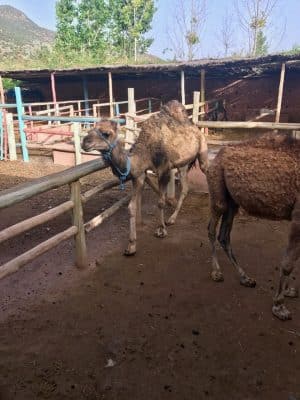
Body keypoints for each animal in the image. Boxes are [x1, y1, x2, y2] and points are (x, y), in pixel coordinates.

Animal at [82, 100, 209, 256]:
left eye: (106, 133)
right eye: (91, 129)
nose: (85, 142)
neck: (146, 151)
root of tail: (196, 128)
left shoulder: (164, 170)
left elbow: (160, 202)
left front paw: (161, 229)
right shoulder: (139, 175)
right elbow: (131, 207)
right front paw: (131, 246)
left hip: (202, 152)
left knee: (206, 172)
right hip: (183, 164)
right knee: (185, 187)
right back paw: (172, 219)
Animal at [206, 133, 300, 320]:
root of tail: (217, 156)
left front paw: (289, 291)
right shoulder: (298, 216)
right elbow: (288, 263)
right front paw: (279, 306)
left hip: (232, 202)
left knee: (224, 236)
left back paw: (245, 278)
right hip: (218, 193)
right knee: (212, 229)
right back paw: (217, 273)